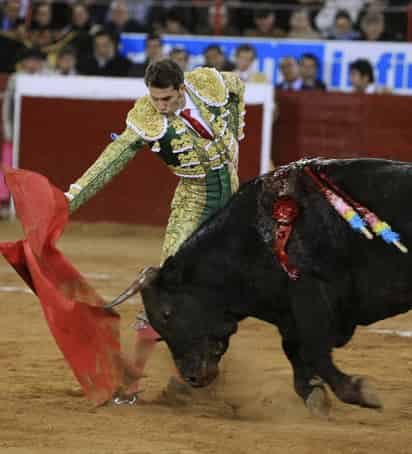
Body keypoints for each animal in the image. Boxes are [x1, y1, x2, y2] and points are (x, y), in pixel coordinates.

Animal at [112, 157, 412, 414]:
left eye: (166, 313)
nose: (192, 377)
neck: (256, 236)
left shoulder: (311, 293)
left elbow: (314, 350)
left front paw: (359, 391)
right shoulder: (288, 312)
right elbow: (295, 351)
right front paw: (314, 395)